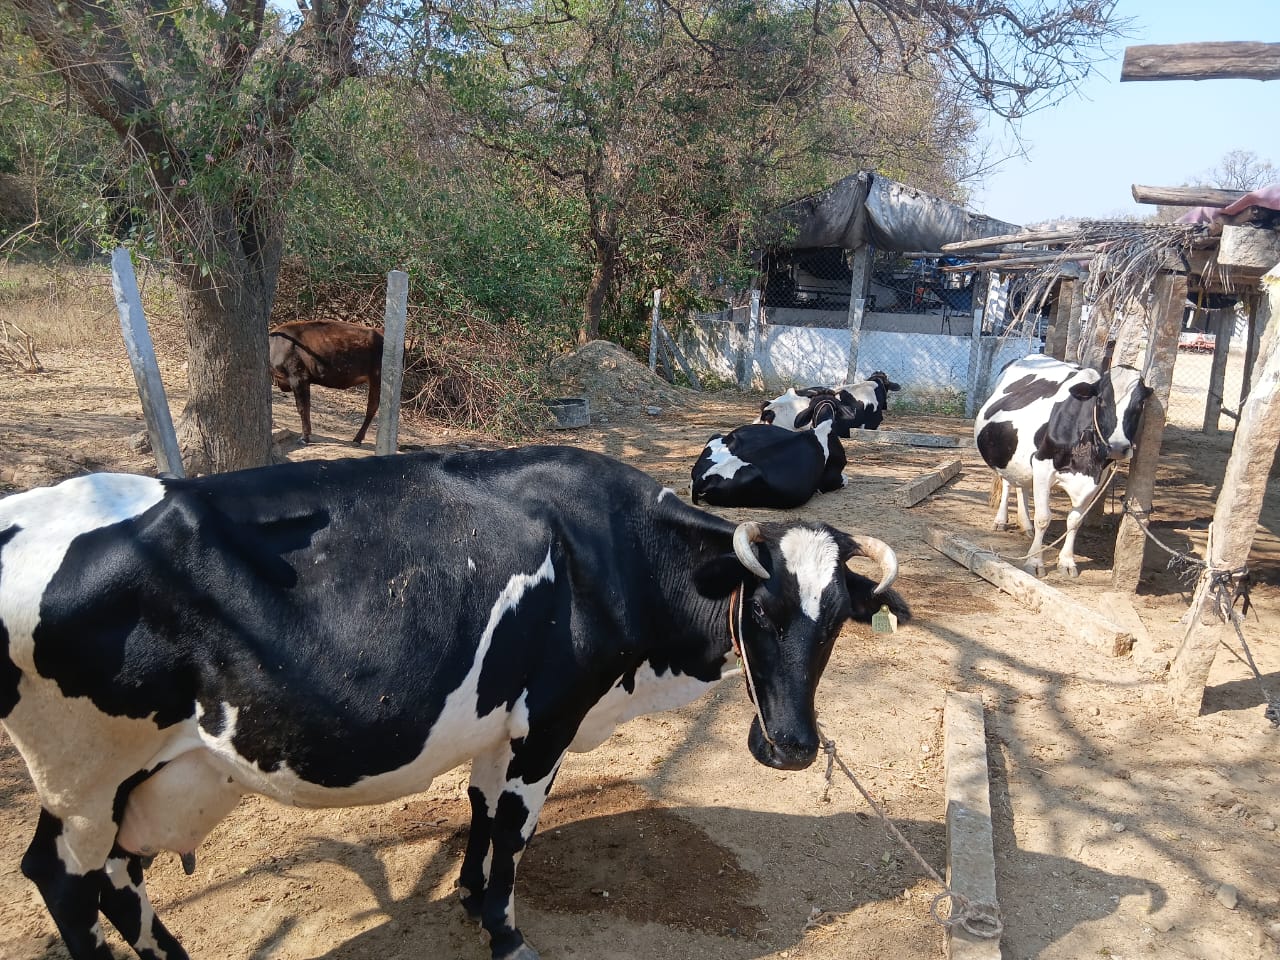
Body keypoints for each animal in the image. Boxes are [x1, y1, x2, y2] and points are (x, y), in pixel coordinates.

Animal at [0, 445, 907, 960]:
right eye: (764, 611)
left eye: (838, 621)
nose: (792, 746)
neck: (615, 552)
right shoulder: (548, 721)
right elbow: (513, 830)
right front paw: (504, 931)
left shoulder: (497, 722)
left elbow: (478, 808)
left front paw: (471, 899)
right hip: (85, 774)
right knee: (63, 880)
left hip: (140, 779)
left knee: (118, 879)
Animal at [973, 353, 1152, 577]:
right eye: (1100, 400)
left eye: (1140, 403)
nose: (1118, 447)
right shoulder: (1042, 465)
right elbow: (1043, 518)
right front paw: (1034, 562)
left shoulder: (1097, 479)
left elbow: (1075, 521)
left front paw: (1067, 562)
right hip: (1005, 452)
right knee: (1007, 483)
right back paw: (1001, 521)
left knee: (1022, 485)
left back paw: (1026, 525)